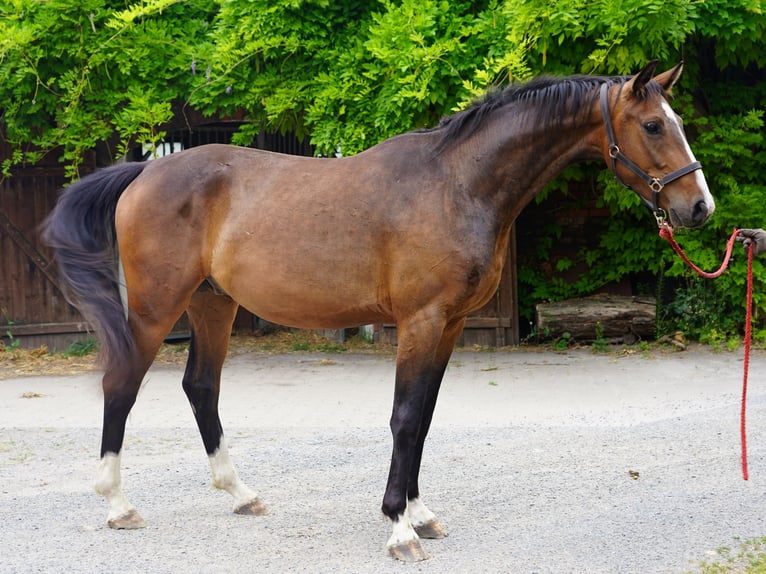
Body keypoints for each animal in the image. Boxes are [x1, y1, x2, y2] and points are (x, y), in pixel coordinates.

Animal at [42, 62, 712, 564]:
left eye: (674, 122)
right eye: (654, 125)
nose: (699, 207)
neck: (456, 183)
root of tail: (146, 169)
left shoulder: (450, 325)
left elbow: (426, 418)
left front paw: (421, 513)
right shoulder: (419, 321)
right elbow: (405, 417)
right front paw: (398, 528)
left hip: (214, 303)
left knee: (200, 387)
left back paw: (240, 494)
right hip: (157, 308)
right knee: (122, 385)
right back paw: (118, 505)